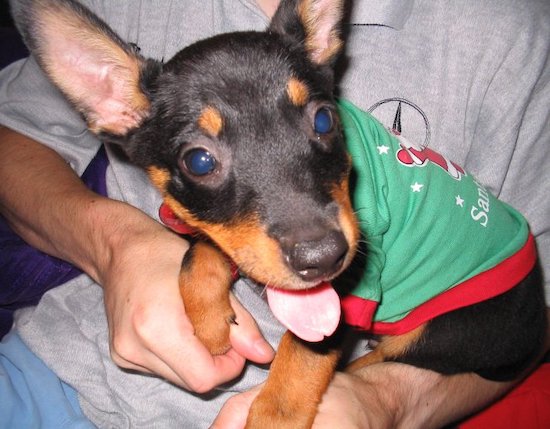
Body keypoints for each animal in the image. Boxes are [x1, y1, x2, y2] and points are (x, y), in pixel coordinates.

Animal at [16, 0, 548, 428]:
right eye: (199, 161)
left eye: (324, 119)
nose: (324, 257)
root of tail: (535, 322)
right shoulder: (237, 237)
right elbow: (198, 255)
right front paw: (208, 322)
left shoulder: (350, 289)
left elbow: (299, 362)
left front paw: (273, 412)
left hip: (444, 328)